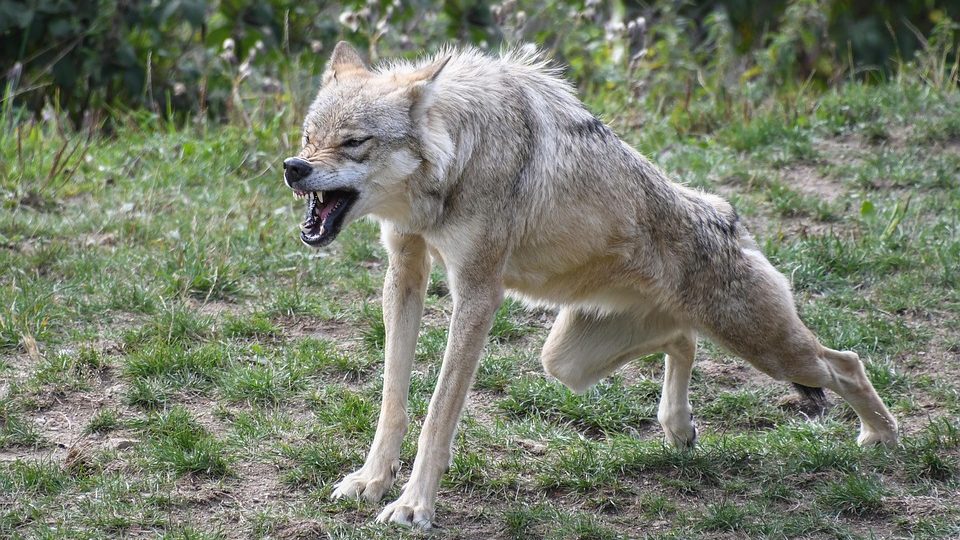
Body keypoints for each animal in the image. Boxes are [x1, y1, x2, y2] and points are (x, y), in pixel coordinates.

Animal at [280, 41, 900, 528]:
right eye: (309, 137)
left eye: (353, 142)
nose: (293, 168)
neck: (457, 158)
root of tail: (727, 214)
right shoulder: (404, 272)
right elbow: (393, 399)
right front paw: (371, 481)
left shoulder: (477, 293)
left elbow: (437, 413)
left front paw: (413, 506)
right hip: (567, 361)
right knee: (683, 340)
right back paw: (679, 428)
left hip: (768, 349)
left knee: (845, 362)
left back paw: (883, 440)